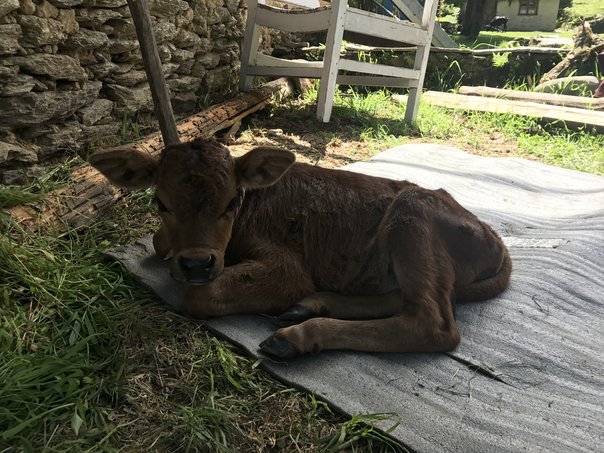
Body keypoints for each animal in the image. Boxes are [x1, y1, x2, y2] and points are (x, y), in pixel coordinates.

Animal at [90, 139, 511, 359]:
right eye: (160, 202)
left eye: (232, 201)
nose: (196, 263)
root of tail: (494, 237)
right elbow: (159, 242)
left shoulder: (286, 267)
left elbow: (200, 296)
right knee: (399, 299)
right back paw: (309, 306)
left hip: (414, 215)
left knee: (432, 323)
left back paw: (297, 336)